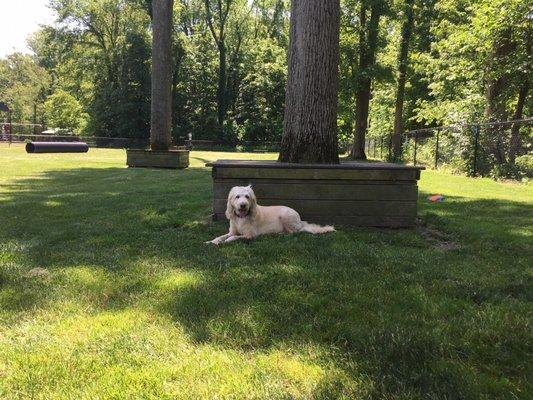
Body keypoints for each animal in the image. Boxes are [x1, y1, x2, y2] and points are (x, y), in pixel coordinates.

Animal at [206, 184, 334, 244]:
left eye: (247, 197)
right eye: (237, 197)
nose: (243, 205)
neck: (241, 218)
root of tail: (300, 219)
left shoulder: (250, 235)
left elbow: (234, 237)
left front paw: (227, 241)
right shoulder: (231, 231)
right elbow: (222, 236)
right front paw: (212, 241)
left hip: (285, 215)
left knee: (294, 232)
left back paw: (280, 234)